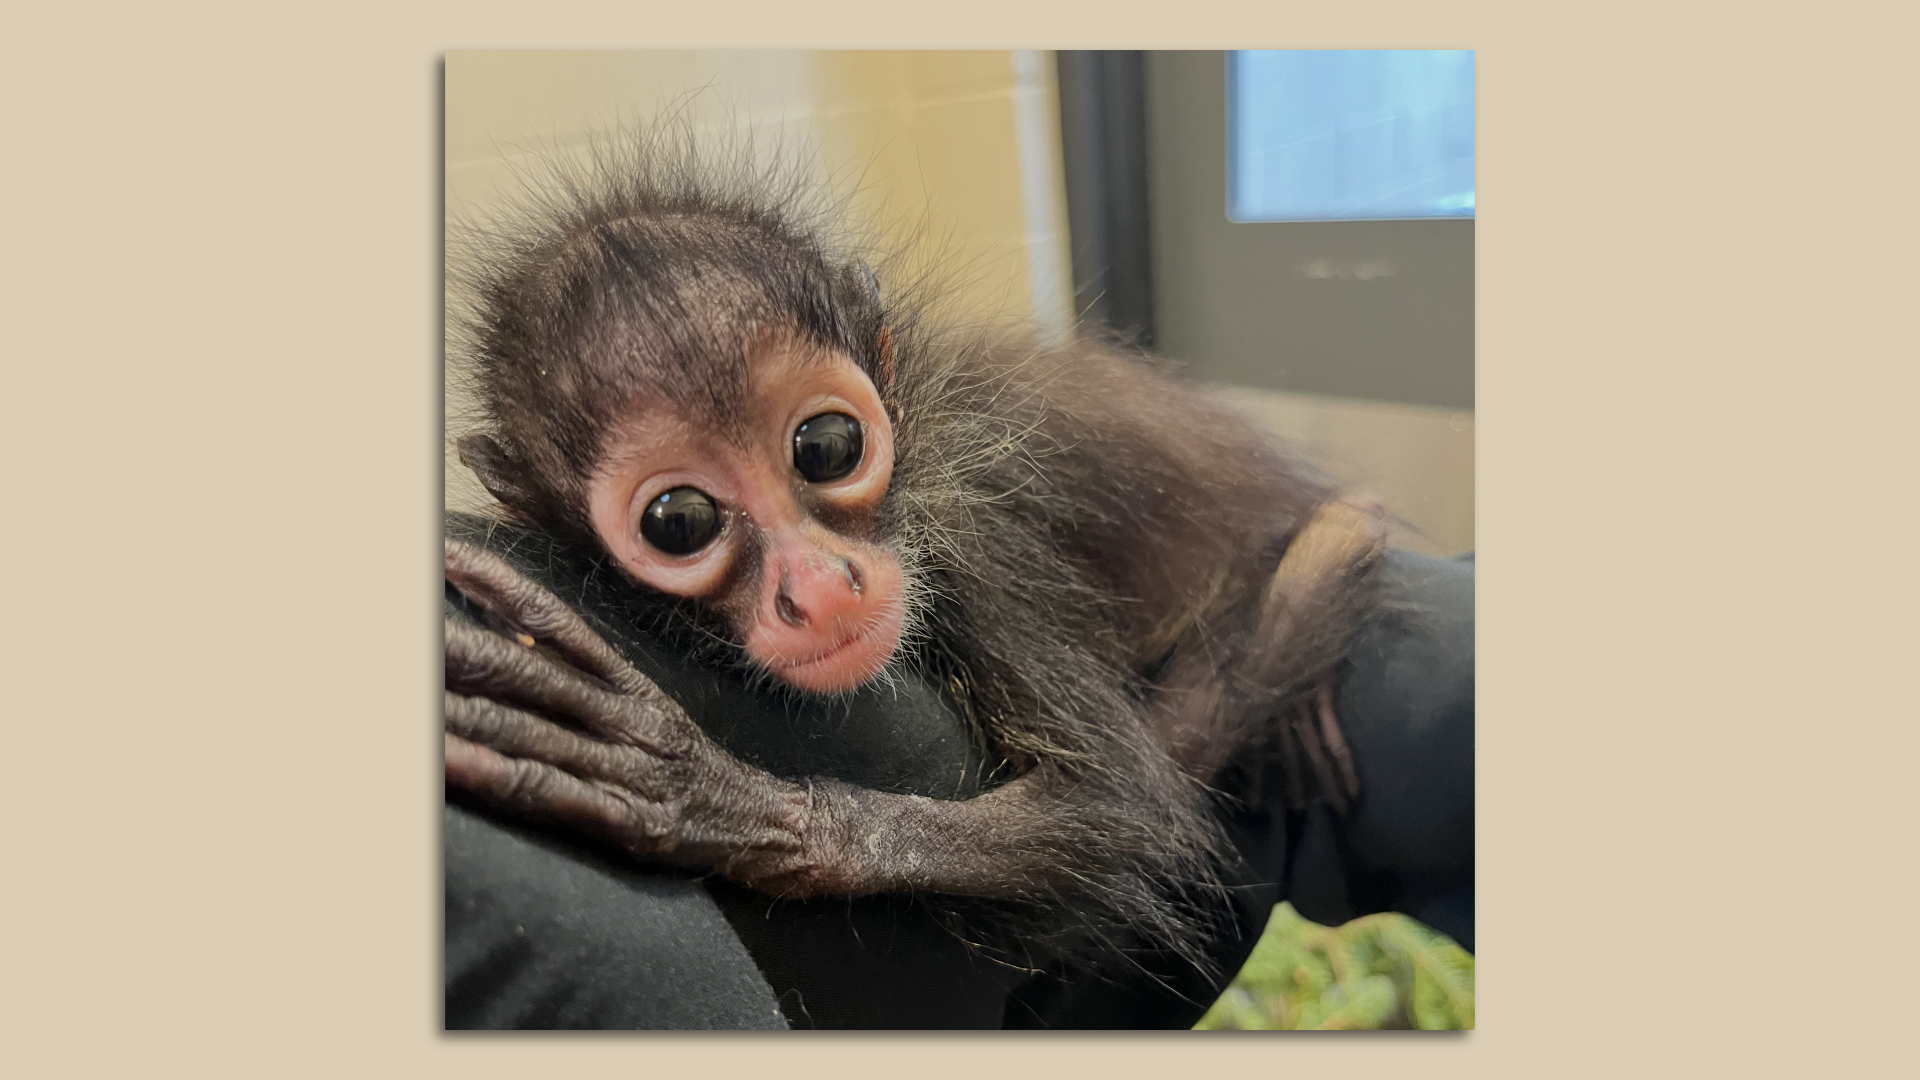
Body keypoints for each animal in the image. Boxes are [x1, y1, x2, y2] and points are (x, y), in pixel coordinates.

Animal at [441, 131, 1400, 982]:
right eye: (678, 522)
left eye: (827, 446)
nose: (820, 589)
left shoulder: (971, 535)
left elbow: (1126, 802)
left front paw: (712, 798)